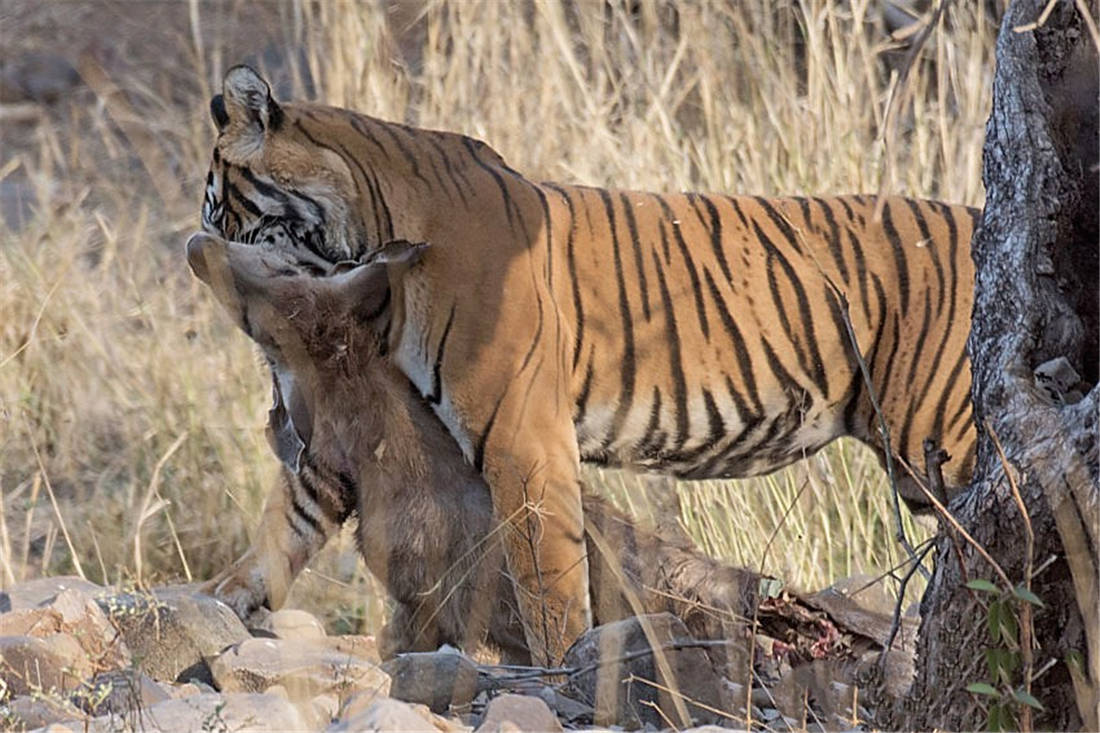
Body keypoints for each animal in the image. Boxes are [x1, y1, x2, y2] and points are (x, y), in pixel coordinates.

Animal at [200, 64, 981, 660]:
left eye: (219, 209)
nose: (197, 247)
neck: (373, 231)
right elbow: (287, 519)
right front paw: (222, 603)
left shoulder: (524, 442)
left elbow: (547, 580)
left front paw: (563, 665)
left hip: (941, 446)